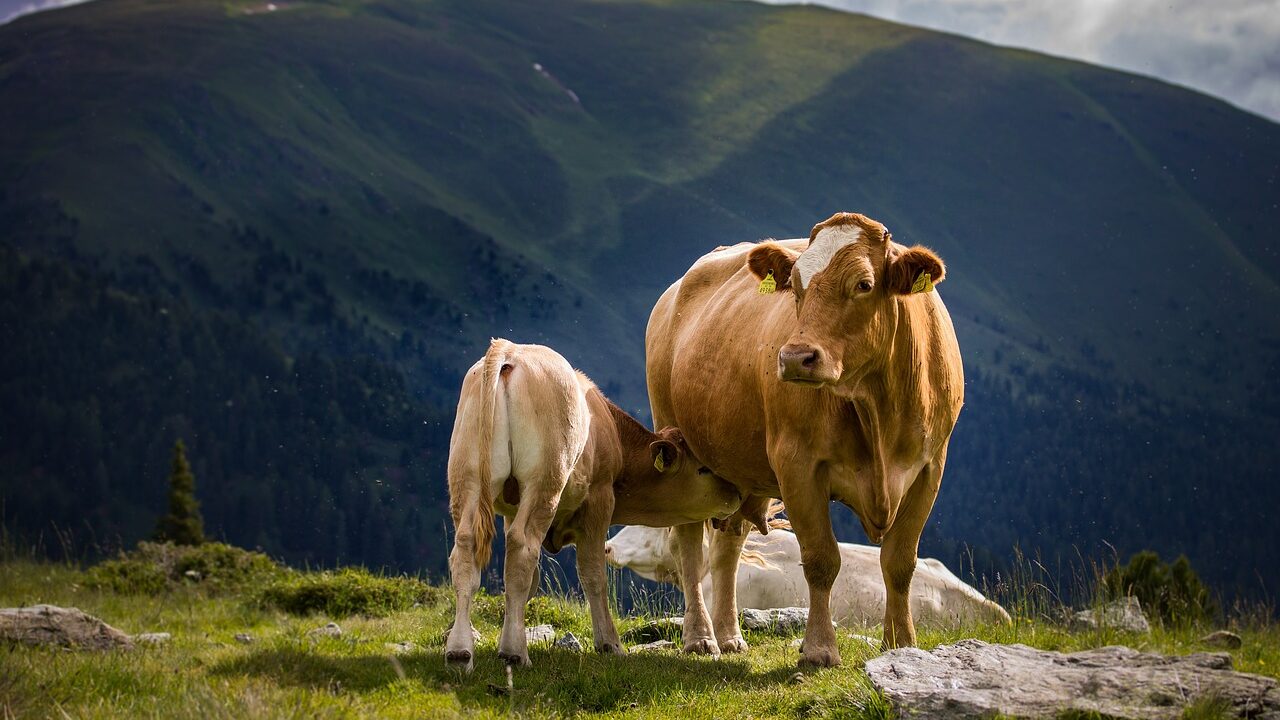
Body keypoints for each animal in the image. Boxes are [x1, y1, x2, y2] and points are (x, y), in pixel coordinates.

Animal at [445, 338, 742, 666]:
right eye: (703, 469)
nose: (737, 492)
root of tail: (510, 351)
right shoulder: (599, 500)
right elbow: (593, 573)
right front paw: (609, 643)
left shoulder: (512, 509)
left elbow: (527, 582)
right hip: (544, 480)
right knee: (522, 547)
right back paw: (514, 653)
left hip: (467, 477)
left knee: (466, 549)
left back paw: (459, 650)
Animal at [650, 210, 962, 666]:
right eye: (795, 285)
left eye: (864, 284)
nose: (796, 357)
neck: (877, 407)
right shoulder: (797, 464)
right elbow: (820, 559)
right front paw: (819, 648)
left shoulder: (929, 468)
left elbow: (901, 561)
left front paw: (901, 643)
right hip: (676, 439)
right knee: (689, 545)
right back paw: (701, 638)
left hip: (736, 469)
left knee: (728, 544)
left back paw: (729, 634)